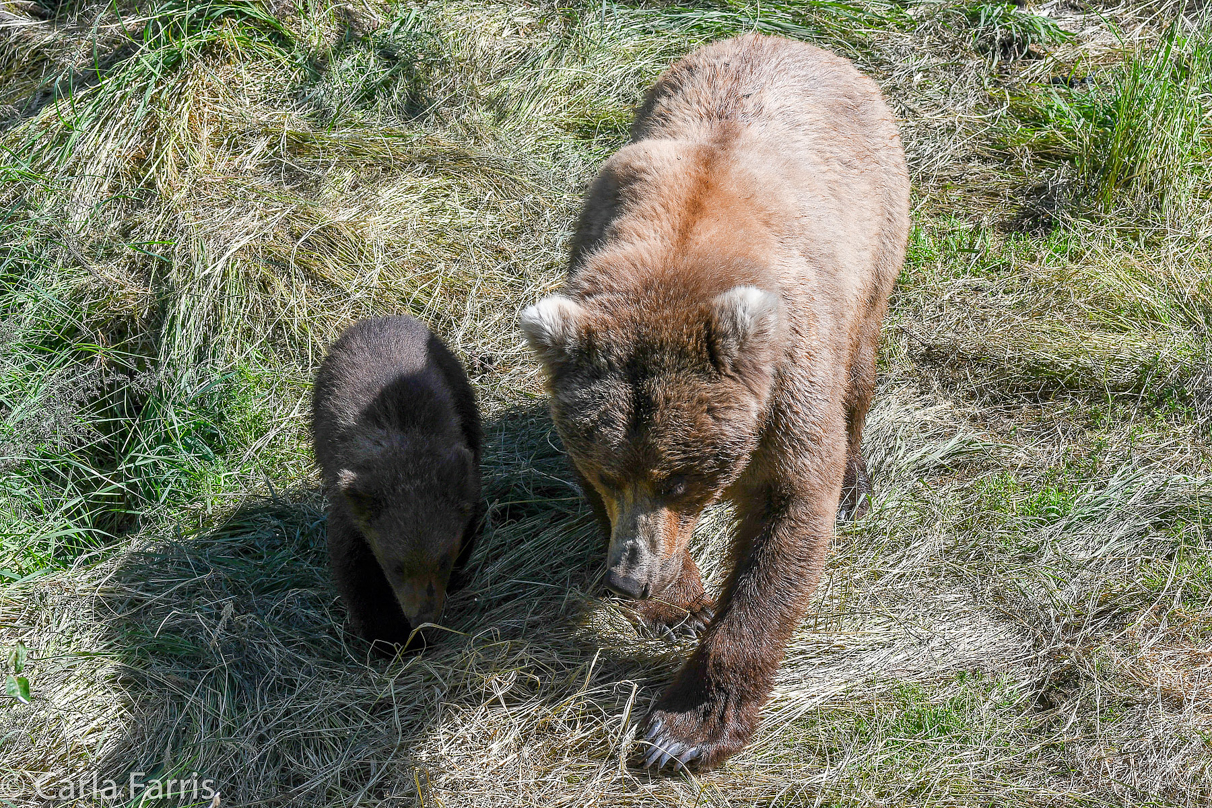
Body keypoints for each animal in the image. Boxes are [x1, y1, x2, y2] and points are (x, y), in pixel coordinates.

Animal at [521, 34, 911, 770]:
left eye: (679, 477)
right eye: (607, 470)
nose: (628, 579)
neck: (684, 251)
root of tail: (789, 40)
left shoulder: (787, 379)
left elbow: (788, 518)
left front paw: (688, 727)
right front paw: (682, 603)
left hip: (878, 234)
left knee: (860, 368)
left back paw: (856, 478)